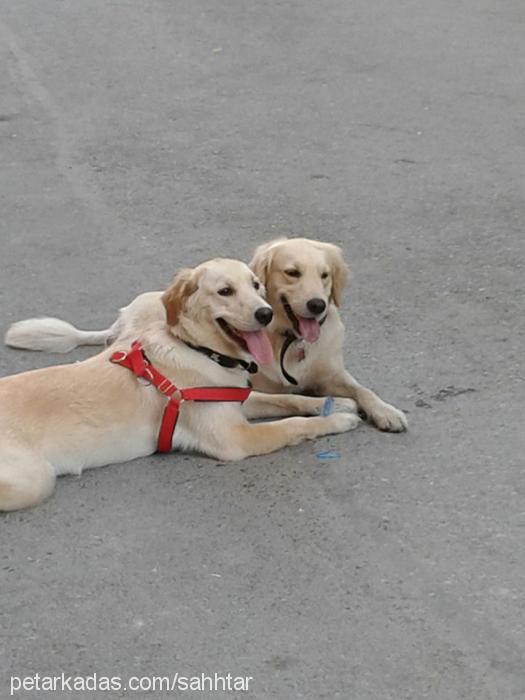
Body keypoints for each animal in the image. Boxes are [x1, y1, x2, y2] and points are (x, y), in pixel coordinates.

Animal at [0, 260, 358, 512]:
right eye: (225, 291)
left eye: (256, 285)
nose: (266, 313)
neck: (199, 349)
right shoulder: (236, 437)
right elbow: (292, 425)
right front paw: (337, 420)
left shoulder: (236, 400)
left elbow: (287, 401)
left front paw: (334, 403)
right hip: (34, 478)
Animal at [5, 238, 406, 430]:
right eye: (292, 272)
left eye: (324, 275)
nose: (317, 305)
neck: (287, 339)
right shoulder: (241, 388)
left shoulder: (332, 372)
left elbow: (361, 389)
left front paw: (384, 410)